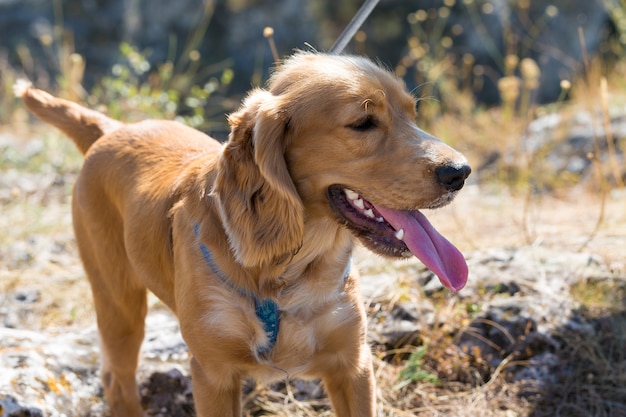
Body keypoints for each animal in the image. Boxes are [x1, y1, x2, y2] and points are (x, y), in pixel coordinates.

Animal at [15, 52, 468, 416]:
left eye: (412, 115)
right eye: (362, 123)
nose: (460, 172)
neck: (287, 270)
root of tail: (111, 128)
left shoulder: (353, 365)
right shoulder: (213, 374)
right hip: (118, 302)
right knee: (117, 381)